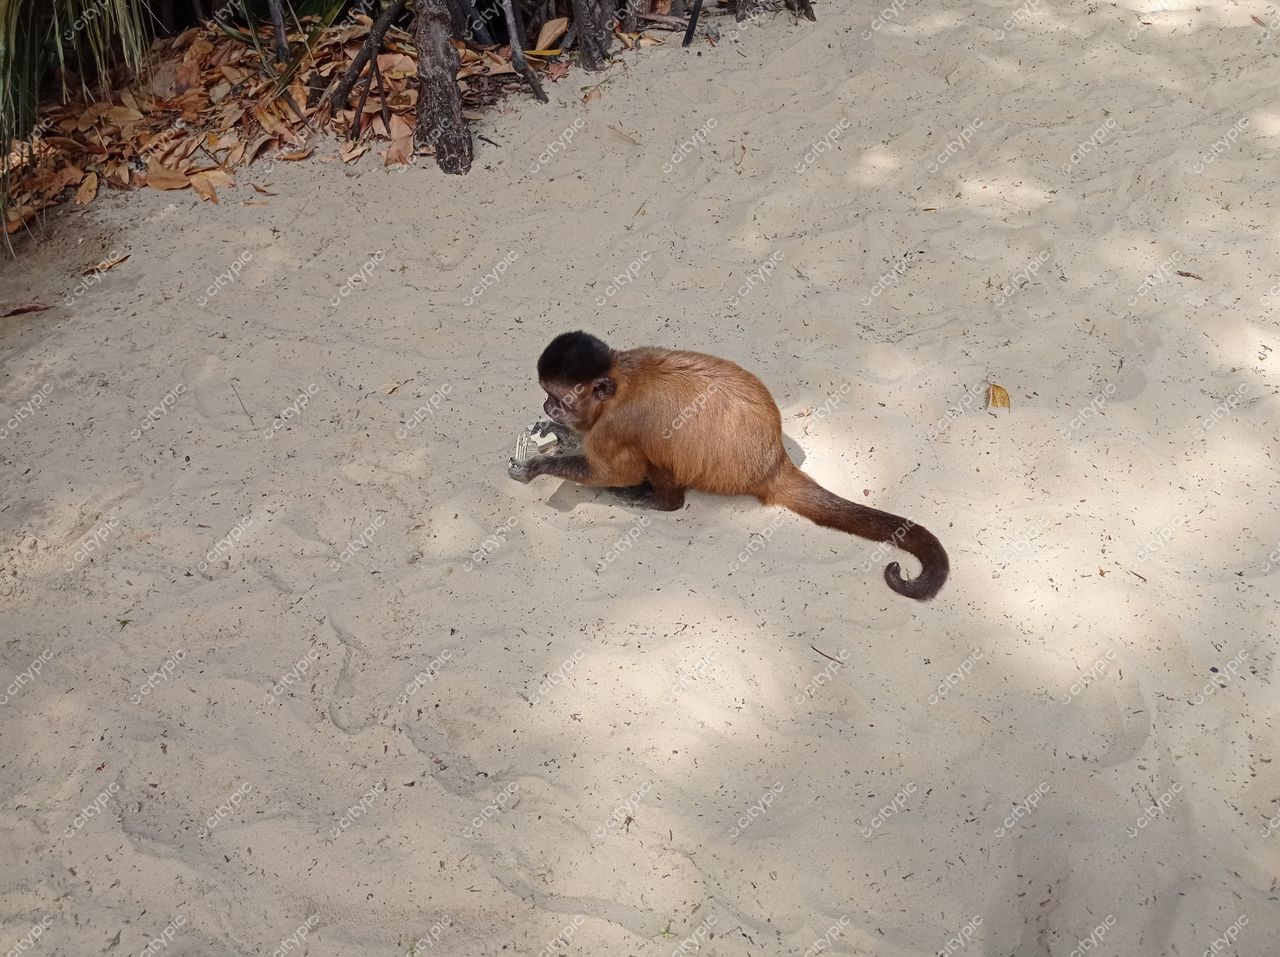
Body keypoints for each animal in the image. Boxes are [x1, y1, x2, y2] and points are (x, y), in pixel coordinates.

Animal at [508, 331, 949, 600]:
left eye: (559, 398)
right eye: (547, 395)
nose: (548, 407)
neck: (619, 384)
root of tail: (772, 461)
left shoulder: (615, 424)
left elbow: (616, 471)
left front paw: (538, 467)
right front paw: (554, 435)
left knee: (659, 447)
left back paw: (659, 501)